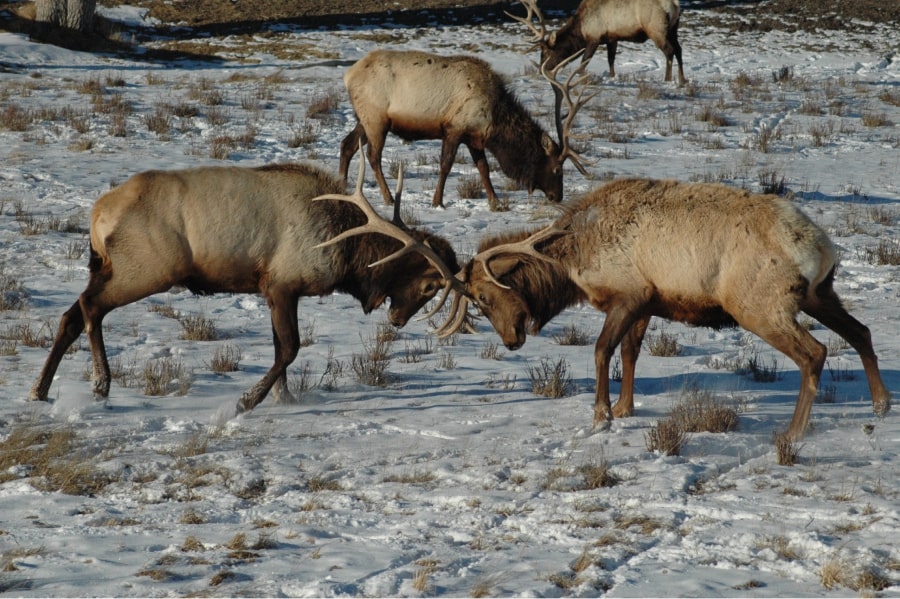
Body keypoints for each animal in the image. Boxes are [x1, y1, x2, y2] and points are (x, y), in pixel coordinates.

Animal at [31, 157, 460, 414]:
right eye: (429, 286)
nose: (398, 319)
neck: (347, 252)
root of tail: (98, 214)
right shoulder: (282, 284)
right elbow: (289, 349)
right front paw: (246, 400)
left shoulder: (274, 290)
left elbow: (280, 349)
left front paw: (283, 397)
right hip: (145, 269)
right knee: (90, 307)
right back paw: (101, 384)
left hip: (108, 268)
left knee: (71, 313)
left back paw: (40, 389)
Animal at [340, 49, 592, 213]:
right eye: (557, 169)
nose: (557, 196)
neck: (494, 120)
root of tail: (348, 76)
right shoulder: (454, 128)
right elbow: (446, 165)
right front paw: (437, 202)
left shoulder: (475, 138)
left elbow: (484, 168)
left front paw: (495, 202)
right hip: (376, 119)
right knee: (373, 156)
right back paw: (389, 198)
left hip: (364, 120)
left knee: (347, 145)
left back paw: (342, 185)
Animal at [438, 178, 892, 440]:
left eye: (483, 297)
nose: (512, 340)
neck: (572, 263)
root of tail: (820, 245)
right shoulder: (647, 301)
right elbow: (629, 353)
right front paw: (624, 408)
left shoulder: (628, 294)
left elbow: (601, 350)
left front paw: (602, 415)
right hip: (819, 293)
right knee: (861, 332)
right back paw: (881, 404)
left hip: (761, 306)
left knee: (815, 353)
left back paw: (793, 432)